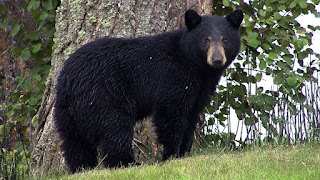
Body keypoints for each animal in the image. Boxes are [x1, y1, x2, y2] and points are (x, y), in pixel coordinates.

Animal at [53, 9, 242, 172]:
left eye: (225, 40)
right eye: (206, 40)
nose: (217, 60)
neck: (196, 66)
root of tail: (68, 79)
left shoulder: (200, 89)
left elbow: (191, 116)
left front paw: (184, 152)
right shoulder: (173, 76)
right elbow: (171, 113)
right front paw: (171, 154)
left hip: (68, 110)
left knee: (74, 141)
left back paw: (82, 167)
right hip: (103, 95)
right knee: (115, 128)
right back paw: (127, 162)